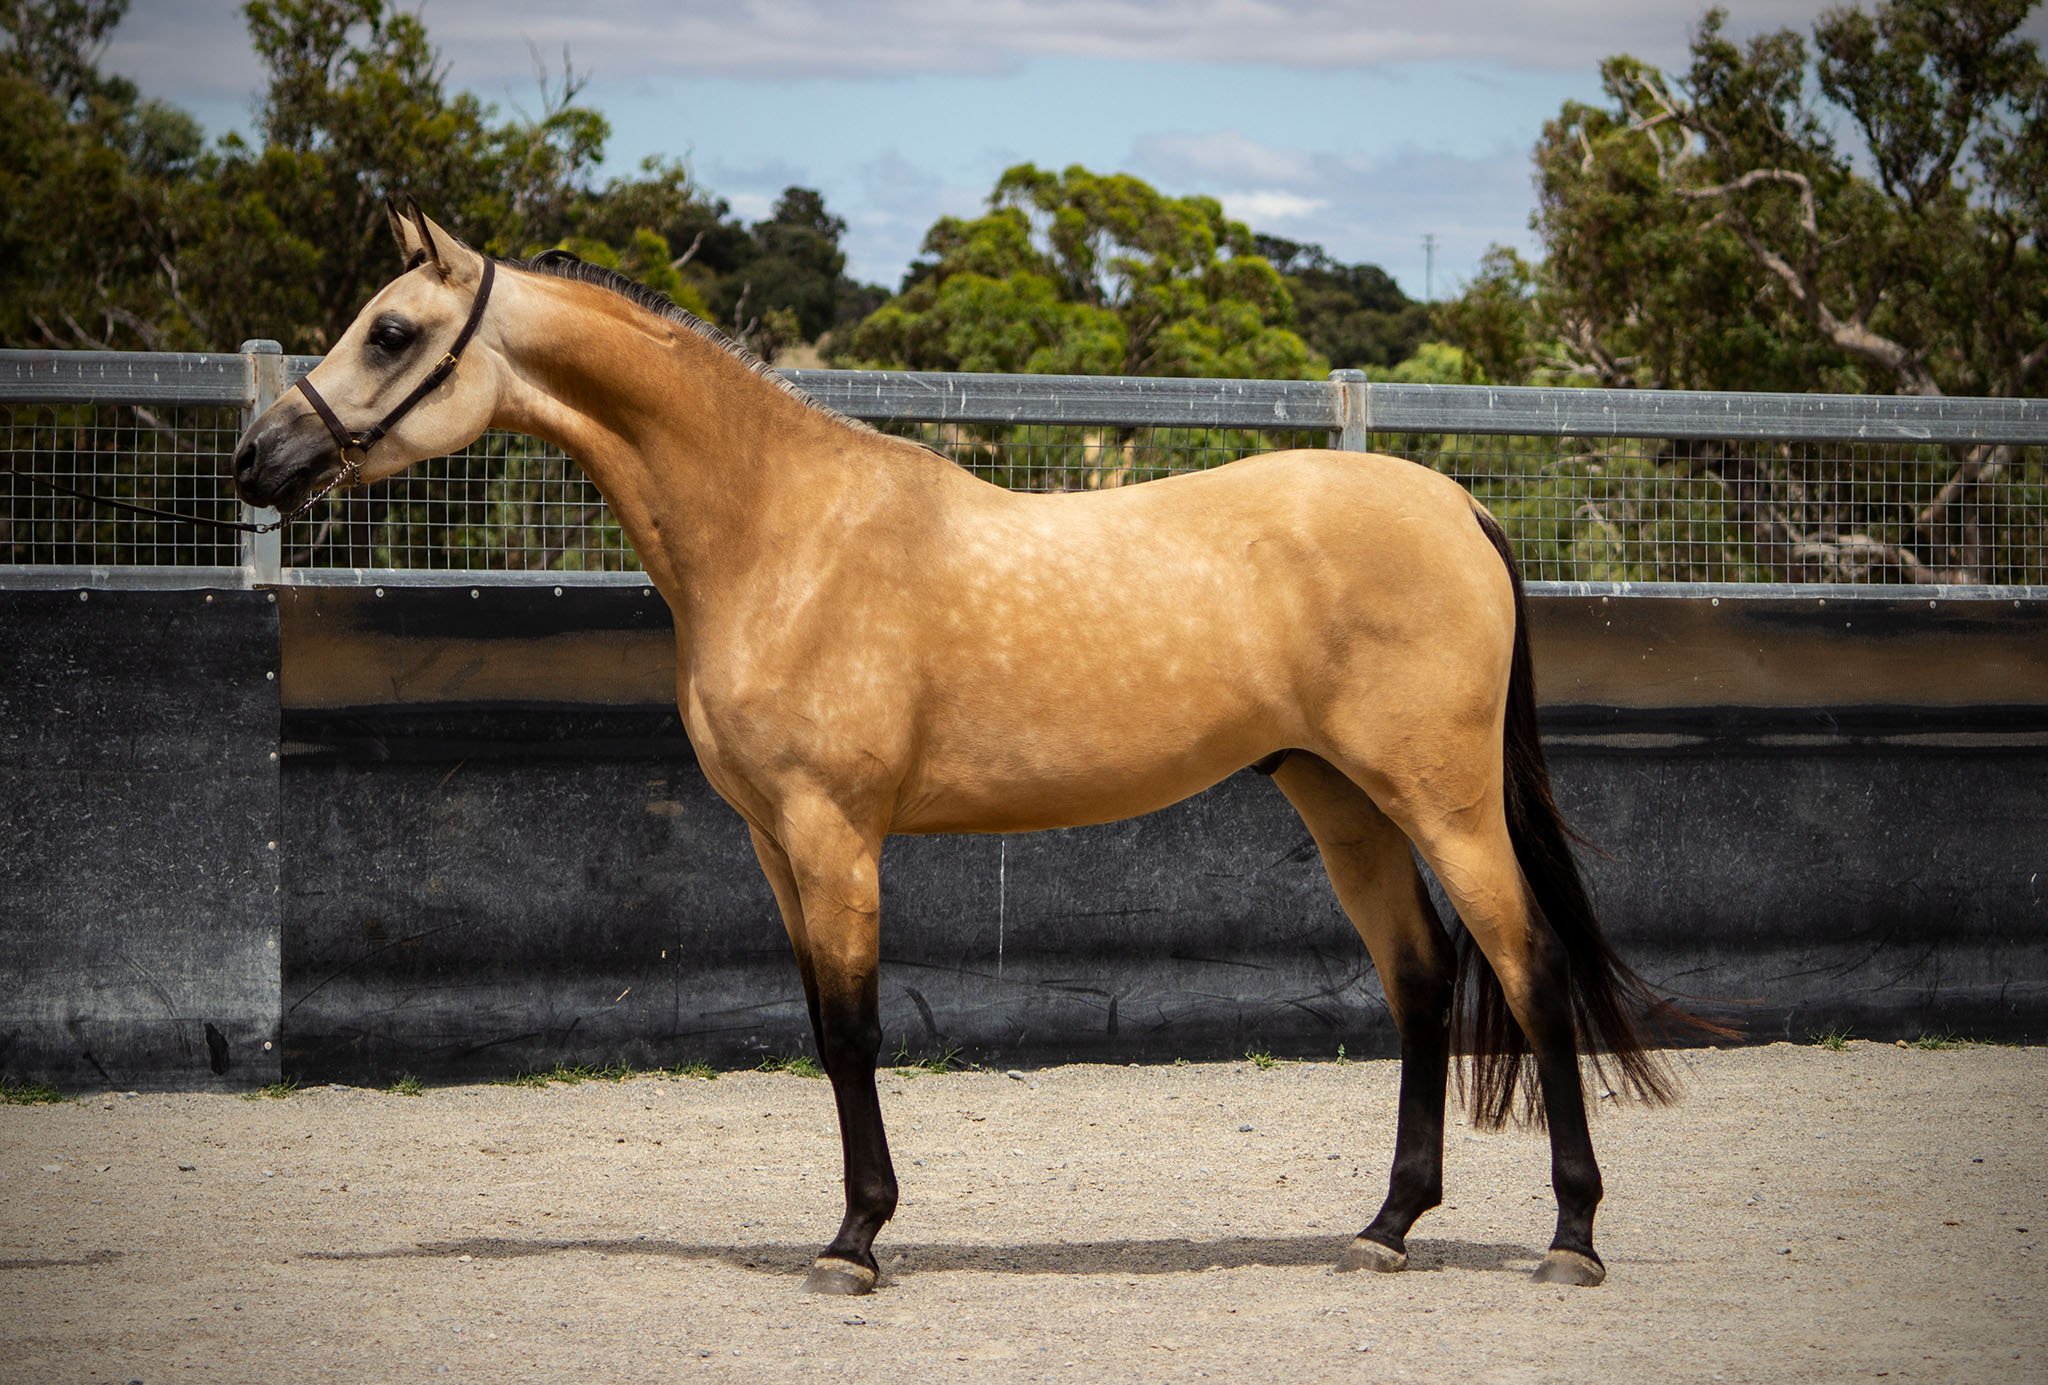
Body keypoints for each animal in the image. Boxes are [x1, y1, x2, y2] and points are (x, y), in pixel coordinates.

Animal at [232, 204, 1688, 1296]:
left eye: (392, 331)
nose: (259, 455)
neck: (781, 530)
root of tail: (1456, 505)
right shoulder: (773, 843)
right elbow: (823, 1030)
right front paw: (851, 1226)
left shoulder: (833, 833)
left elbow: (855, 1029)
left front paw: (856, 1241)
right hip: (1343, 801)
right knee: (1421, 979)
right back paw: (1386, 1227)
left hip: (1443, 799)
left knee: (1527, 966)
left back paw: (1570, 1236)